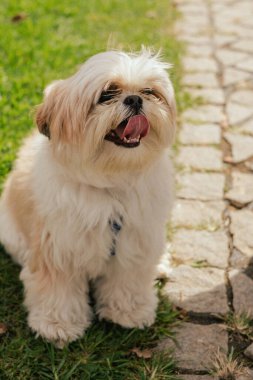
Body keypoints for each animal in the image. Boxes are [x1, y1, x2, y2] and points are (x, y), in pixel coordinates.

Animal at [0, 49, 176, 346]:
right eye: (107, 94)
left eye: (149, 92)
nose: (135, 99)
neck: (112, 185)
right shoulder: (59, 248)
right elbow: (58, 290)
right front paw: (57, 325)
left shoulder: (135, 242)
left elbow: (129, 279)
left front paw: (128, 312)